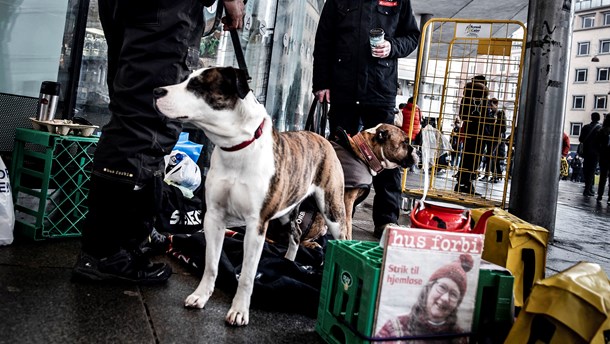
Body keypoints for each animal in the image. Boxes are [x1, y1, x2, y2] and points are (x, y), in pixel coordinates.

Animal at [154, 66, 346, 326]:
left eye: (197, 85)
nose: (156, 91)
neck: (235, 147)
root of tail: (320, 136)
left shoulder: (256, 225)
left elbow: (246, 275)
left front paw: (239, 311)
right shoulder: (214, 217)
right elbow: (211, 264)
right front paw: (201, 296)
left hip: (332, 212)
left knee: (341, 236)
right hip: (286, 212)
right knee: (296, 234)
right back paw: (288, 260)